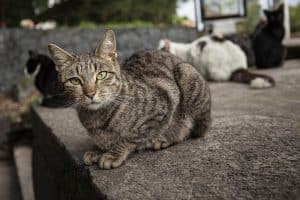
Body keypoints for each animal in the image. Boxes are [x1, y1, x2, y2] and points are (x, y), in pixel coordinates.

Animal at [48, 30, 211, 170]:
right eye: (75, 80)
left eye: (101, 75)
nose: (90, 93)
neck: (97, 118)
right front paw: (98, 149)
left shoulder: (162, 107)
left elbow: (132, 136)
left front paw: (114, 153)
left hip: (186, 73)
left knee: (193, 129)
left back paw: (166, 138)